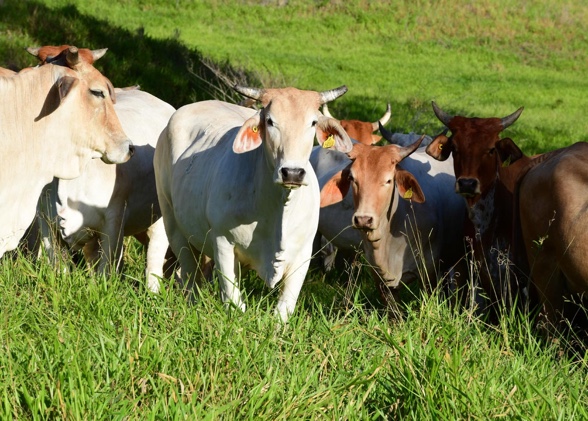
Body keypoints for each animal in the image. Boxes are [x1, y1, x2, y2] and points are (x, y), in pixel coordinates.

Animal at [154, 86, 352, 322]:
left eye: (313, 122)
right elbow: (233, 302)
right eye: (270, 121)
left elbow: (283, 310)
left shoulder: (303, 254)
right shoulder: (222, 242)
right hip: (172, 221)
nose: (292, 173)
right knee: (189, 274)